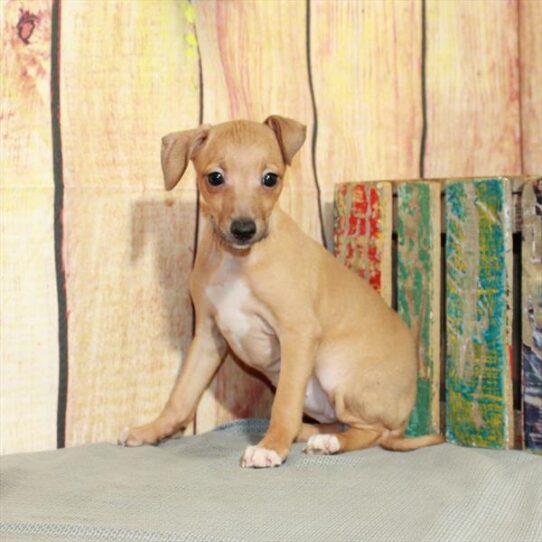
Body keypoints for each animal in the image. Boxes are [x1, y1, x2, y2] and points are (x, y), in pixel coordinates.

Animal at [120, 117, 446, 470]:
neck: (238, 261)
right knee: (343, 424)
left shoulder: (297, 332)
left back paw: (327, 442)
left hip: (337, 373)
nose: (244, 229)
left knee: (373, 432)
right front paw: (152, 430)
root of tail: (405, 413)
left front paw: (271, 447)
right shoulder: (208, 334)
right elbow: (181, 395)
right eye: (215, 178)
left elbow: (284, 403)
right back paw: (310, 432)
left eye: (270, 179)